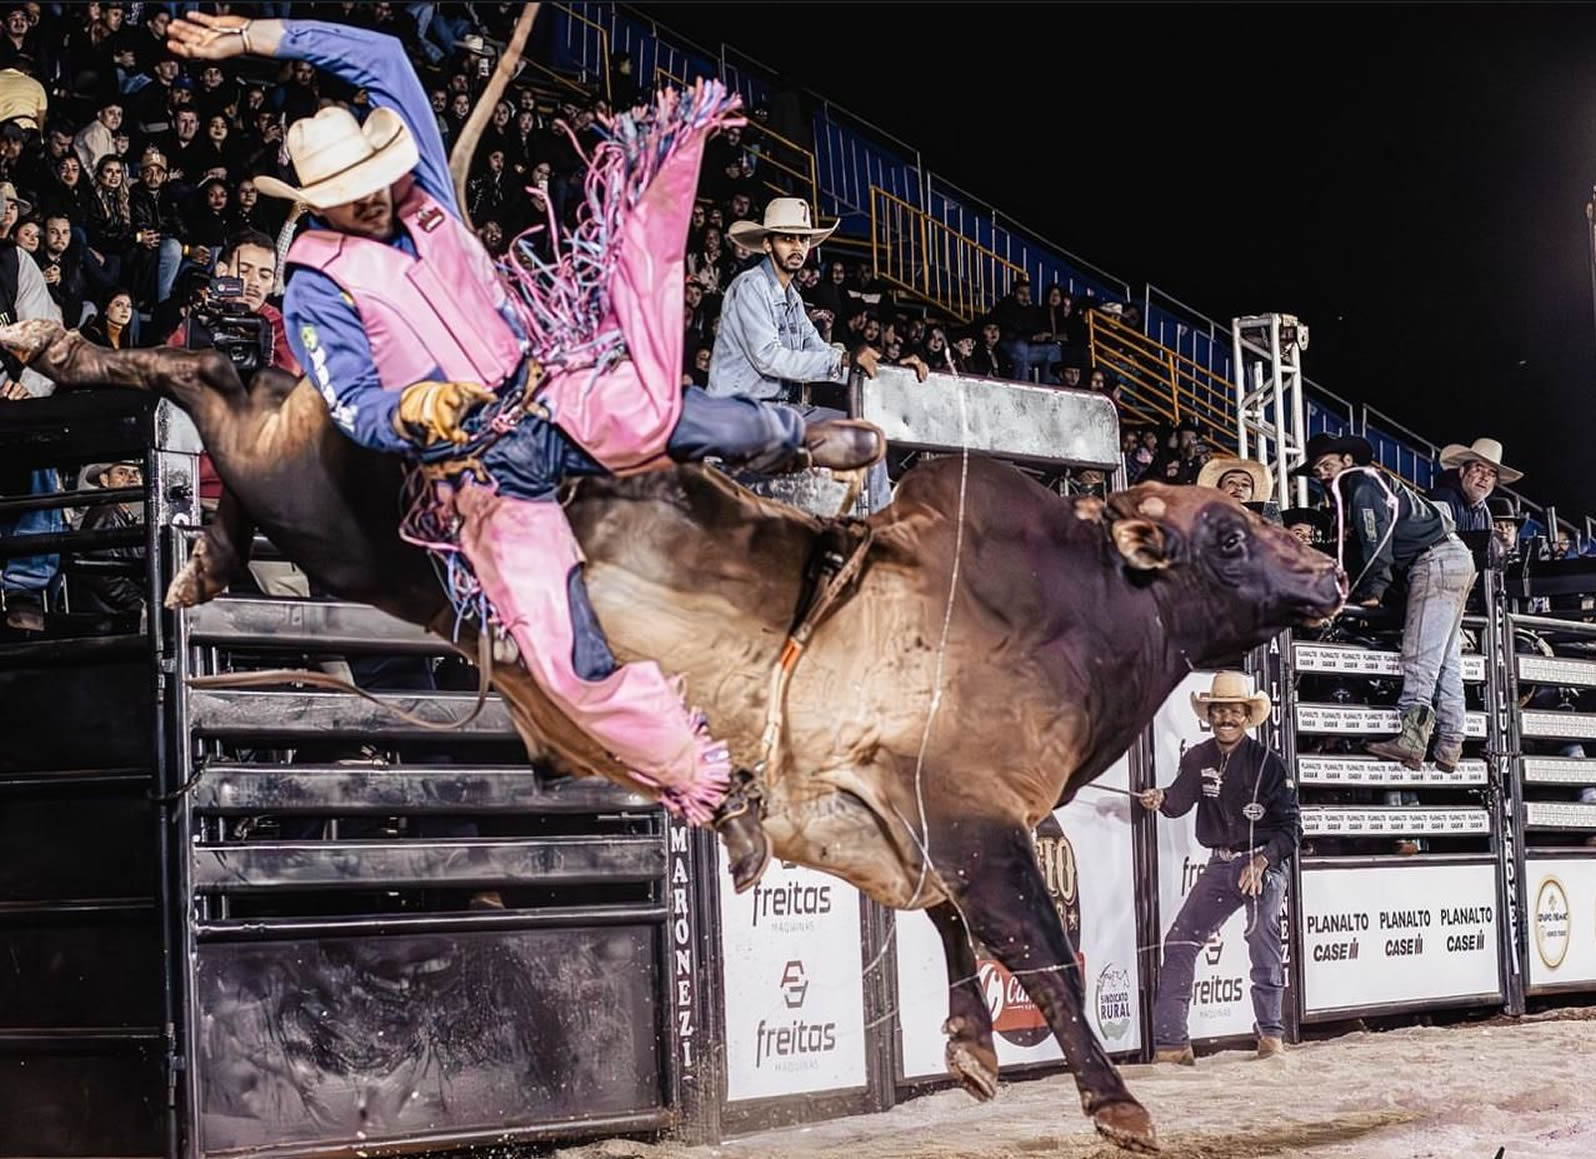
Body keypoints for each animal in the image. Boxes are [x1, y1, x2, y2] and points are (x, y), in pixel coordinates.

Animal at [3, 317, 1347, 1155]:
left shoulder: (896, 824)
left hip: (316, 500)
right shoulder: (975, 816)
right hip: (328, 501)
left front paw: (968, 1048)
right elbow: (1042, 952)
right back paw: (70, 357)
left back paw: (196, 549)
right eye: (1230, 534)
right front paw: (1118, 1106)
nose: (1331, 572)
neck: (1078, 603)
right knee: (216, 387)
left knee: (241, 414)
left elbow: (949, 925)